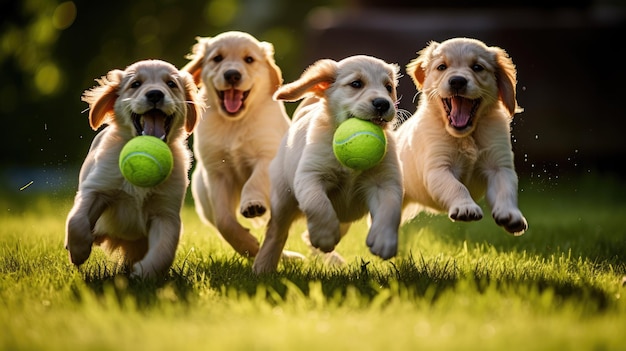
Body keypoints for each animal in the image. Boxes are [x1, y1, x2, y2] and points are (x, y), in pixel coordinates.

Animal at [64, 60, 200, 280]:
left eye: (171, 84)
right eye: (135, 84)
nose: (155, 94)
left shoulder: (166, 213)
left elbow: (164, 250)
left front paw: (144, 272)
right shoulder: (96, 188)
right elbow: (76, 220)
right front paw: (78, 251)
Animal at [182, 31, 292, 258]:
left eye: (249, 59)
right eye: (217, 58)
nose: (232, 75)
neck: (235, 123)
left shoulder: (266, 156)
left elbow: (254, 181)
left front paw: (252, 204)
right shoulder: (216, 171)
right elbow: (224, 220)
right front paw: (247, 245)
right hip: (202, 196)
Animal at [252, 55, 402, 276]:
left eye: (388, 87)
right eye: (356, 84)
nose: (383, 103)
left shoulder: (385, 183)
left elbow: (390, 209)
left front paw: (384, 240)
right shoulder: (310, 176)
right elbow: (318, 204)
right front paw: (324, 235)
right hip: (283, 199)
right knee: (276, 231)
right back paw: (263, 266)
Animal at [394, 37, 528, 235]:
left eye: (477, 67)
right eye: (442, 67)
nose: (457, 81)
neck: (466, 136)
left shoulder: (499, 166)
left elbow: (506, 190)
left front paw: (511, 215)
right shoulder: (438, 168)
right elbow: (456, 187)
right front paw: (466, 207)